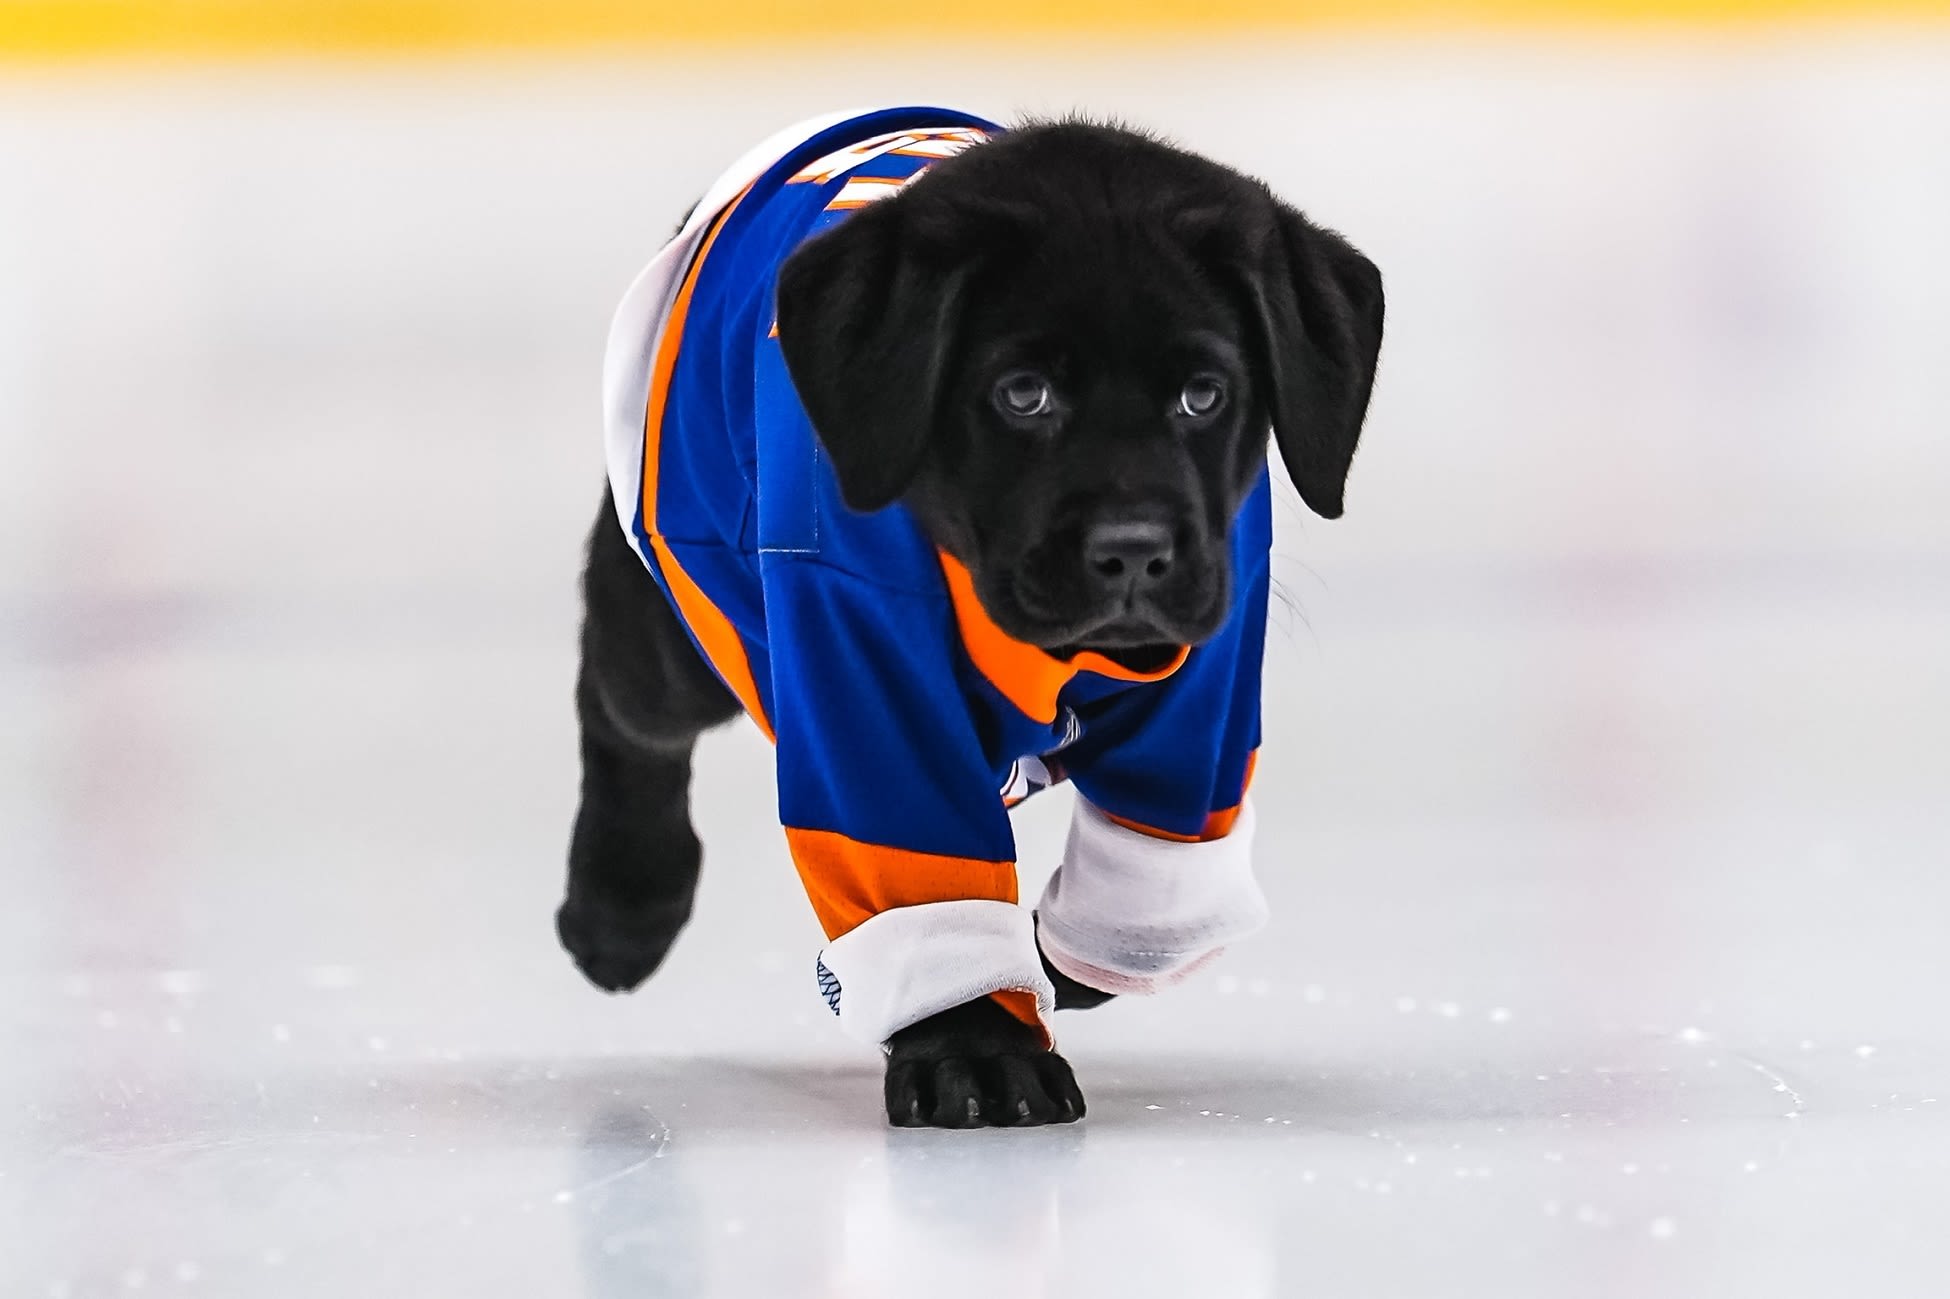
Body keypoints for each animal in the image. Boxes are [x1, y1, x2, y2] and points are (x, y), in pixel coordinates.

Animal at [557, 111, 1380, 1123]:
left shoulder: (1201, 709)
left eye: (1203, 394)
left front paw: (1053, 968)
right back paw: (621, 905)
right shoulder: (866, 680)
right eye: (1023, 394)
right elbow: (926, 883)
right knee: (622, 704)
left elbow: (1142, 890)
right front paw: (977, 1049)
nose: (1134, 552)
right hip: (675, 629)